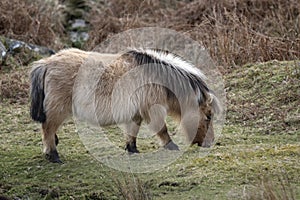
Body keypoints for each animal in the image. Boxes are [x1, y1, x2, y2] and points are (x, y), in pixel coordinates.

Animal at [29, 48, 220, 162]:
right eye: (208, 116)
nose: (209, 143)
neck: (158, 76)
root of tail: (46, 64)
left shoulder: (136, 113)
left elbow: (132, 132)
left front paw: (132, 149)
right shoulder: (153, 110)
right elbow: (162, 129)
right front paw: (171, 146)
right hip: (58, 110)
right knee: (47, 129)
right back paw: (53, 155)